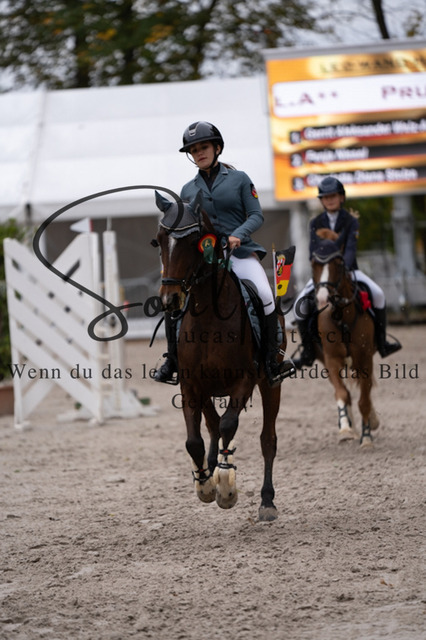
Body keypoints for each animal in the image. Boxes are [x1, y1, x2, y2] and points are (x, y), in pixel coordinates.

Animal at [153, 190, 288, 521]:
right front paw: (205, 483)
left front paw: (226, 487)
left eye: (193, 240)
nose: (169, 300)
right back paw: (210, 468)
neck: (209, 314)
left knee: (267, 440)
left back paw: (266, 501)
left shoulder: (244, 381)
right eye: (159, 240)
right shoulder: (190, 385)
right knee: (212, 426)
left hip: (271, 384)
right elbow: (195, 440)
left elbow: (229, 426)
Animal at [311, 228, 379, 448]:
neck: (341, 317)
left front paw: (367, 436)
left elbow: (364, 399)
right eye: (313, 264)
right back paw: (349, 427)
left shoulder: (364, 358)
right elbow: (342, 394)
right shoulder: (331, 359)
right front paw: (346, 429)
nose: (323, 298)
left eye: (339, 264)